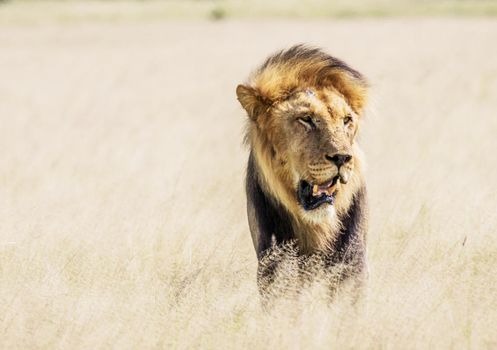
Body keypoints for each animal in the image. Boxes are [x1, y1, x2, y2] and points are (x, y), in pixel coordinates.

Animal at [235, 44, 368, 296]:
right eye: (306, 119)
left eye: (347, 120)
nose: (342, 158)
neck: (317, 227)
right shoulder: (274, 266)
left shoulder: (353, 264)